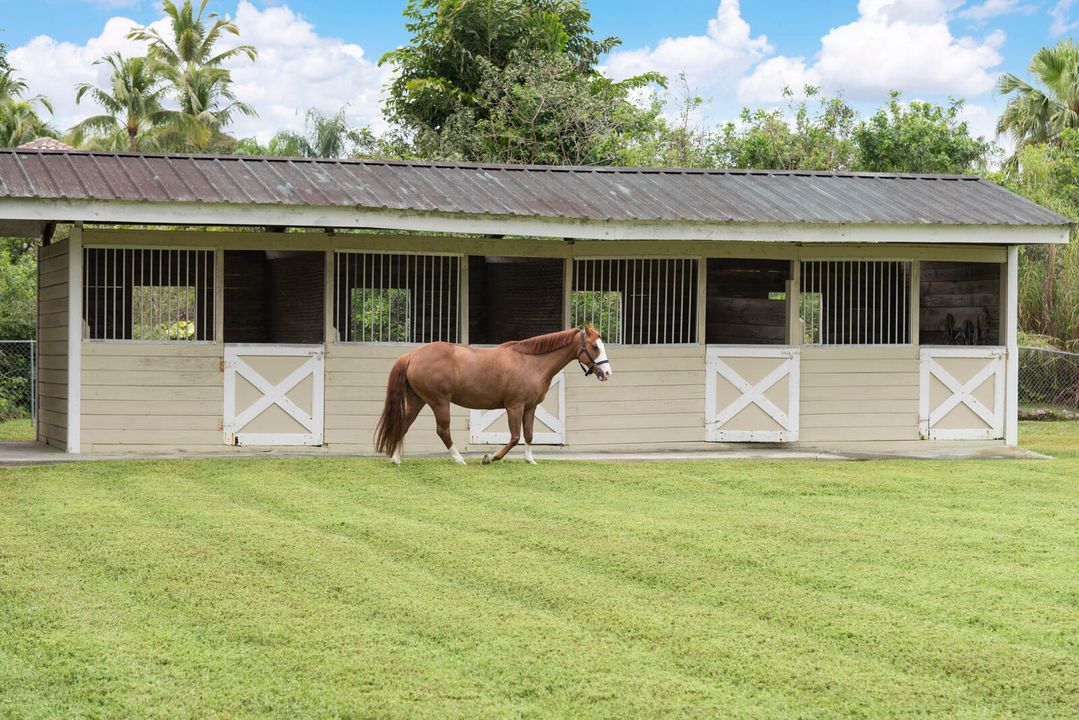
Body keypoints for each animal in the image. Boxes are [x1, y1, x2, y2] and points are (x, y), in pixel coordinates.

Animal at [375, 325, 612, 464]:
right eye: (594, 347)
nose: (607, 372)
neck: (531, 362)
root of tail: (412, 355)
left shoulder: (530, 407)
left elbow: (529, 435)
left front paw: (530, 460)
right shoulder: (514, 406)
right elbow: (515, 437)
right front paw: (490, 457)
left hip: (418, 401)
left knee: (404, 424)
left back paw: (396, 459)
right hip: (439, 402)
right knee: (443, 431)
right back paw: (459, 460)